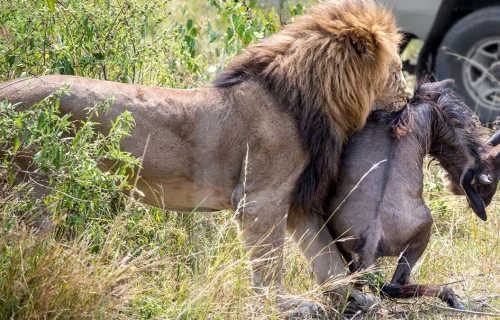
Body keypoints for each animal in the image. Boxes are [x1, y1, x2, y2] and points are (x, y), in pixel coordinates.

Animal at [0, 0, 410, 316]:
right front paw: (283, 306)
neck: (312, 102)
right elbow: (269, 263)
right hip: (34, 191)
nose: (409, 97)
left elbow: (326, 258)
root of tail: (8, 90)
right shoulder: (262, 198)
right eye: (397, 70)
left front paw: (357, 299)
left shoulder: (297, 200)